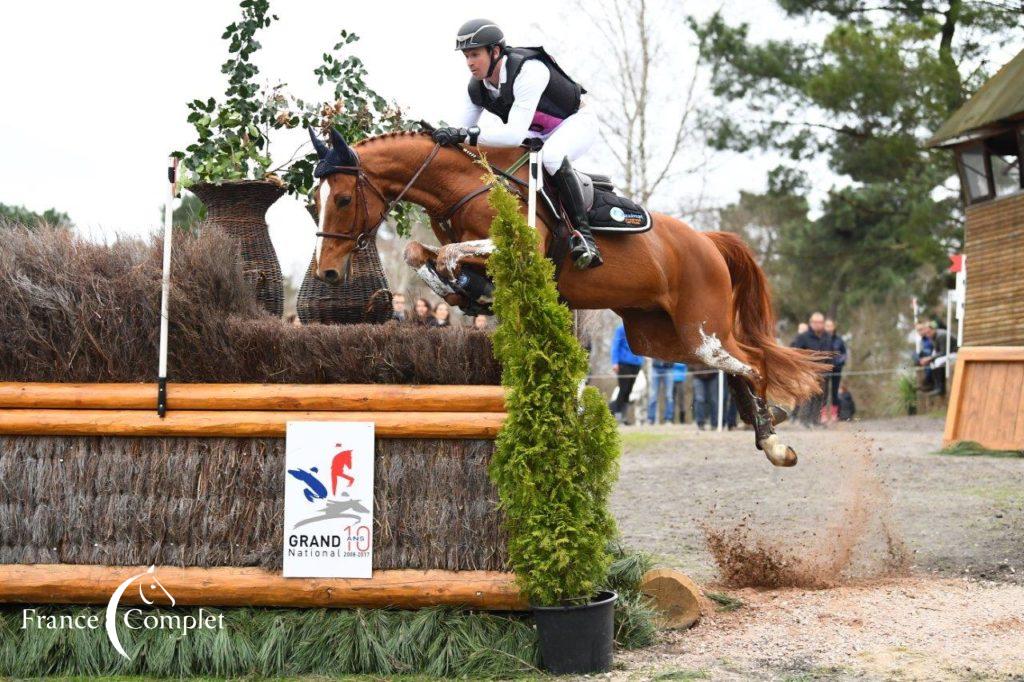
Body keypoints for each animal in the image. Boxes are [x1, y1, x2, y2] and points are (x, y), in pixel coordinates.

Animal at [309, 128, 823, 464]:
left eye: (343, 199)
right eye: (316, 199)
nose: (328, 271)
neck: (464, 186)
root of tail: (707, 241)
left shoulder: (516, 249)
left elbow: (452, 257)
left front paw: (473, 291)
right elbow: (421, 254)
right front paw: (466, 293)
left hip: (701, 330)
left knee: (752, 362)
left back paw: (774, 438)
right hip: (657, 338)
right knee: (738, 364)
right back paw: (766, 428)